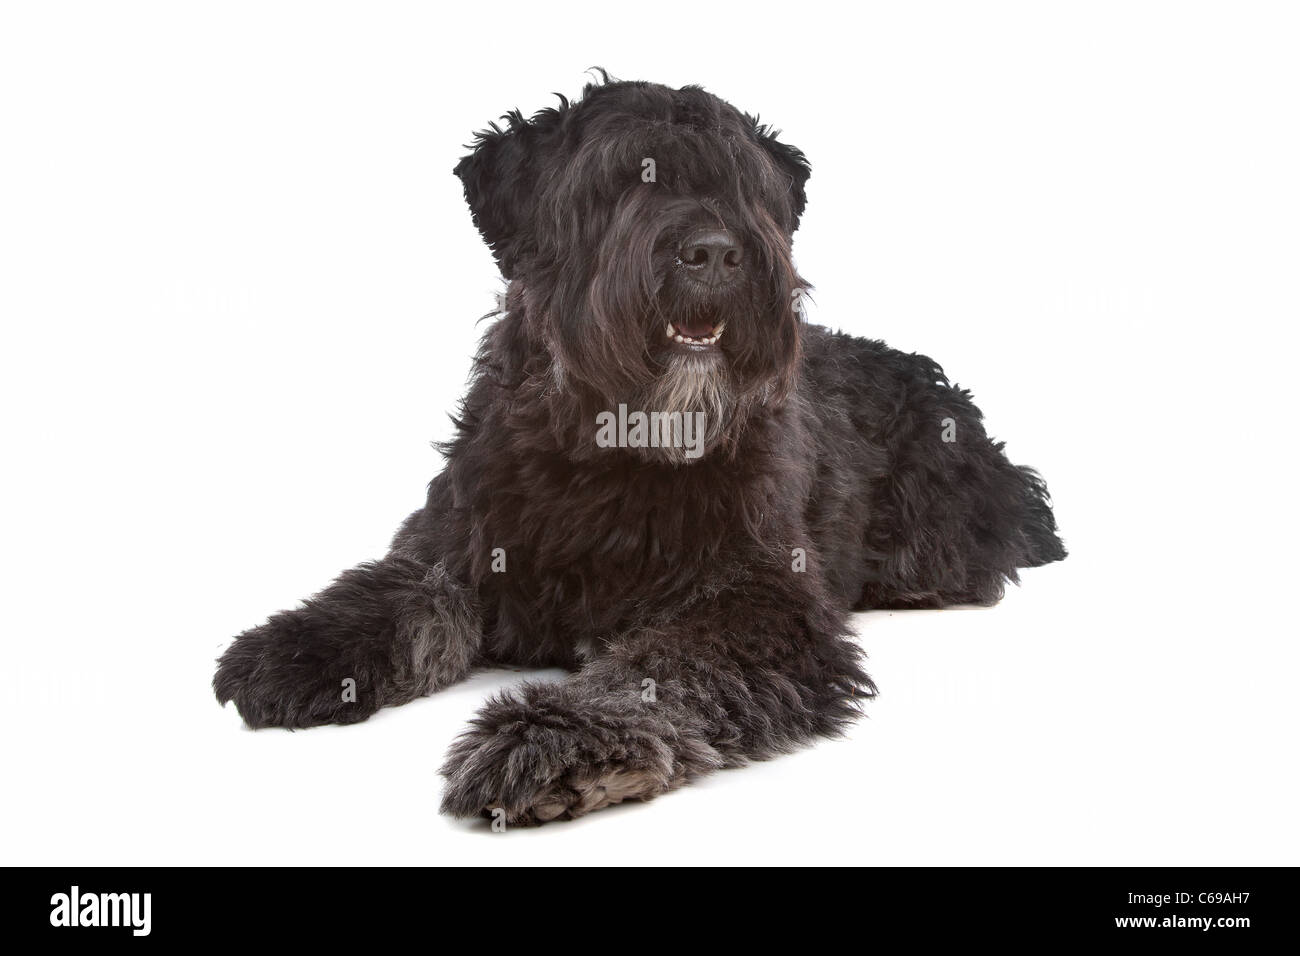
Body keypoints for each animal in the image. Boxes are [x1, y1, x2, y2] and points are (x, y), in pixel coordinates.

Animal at [215, 74, 1066, 827]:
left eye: (745, 185)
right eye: (624, 179)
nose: (715, 253)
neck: (611, 449)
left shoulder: (760, 599)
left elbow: (661, 669)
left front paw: (551, 741)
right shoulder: (457, 544)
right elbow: (398, 593)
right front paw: (301, 648)